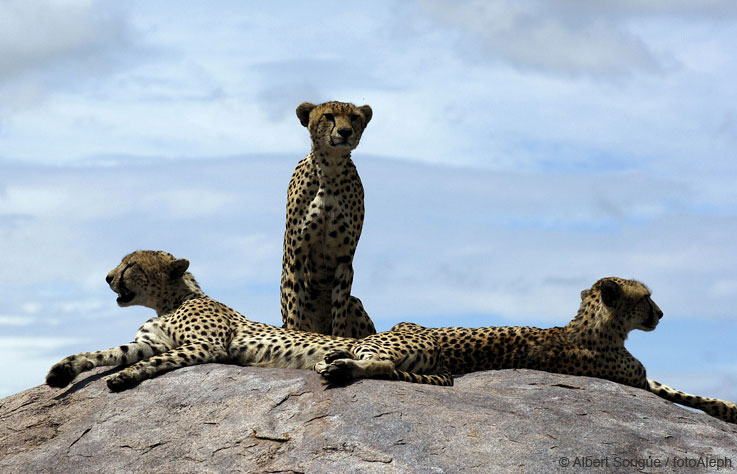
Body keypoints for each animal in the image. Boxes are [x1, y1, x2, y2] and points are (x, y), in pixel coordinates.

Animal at [44, 250, 448, 390]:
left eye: (130, 265)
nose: (108, 277)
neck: (170, 302)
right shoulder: (148, 342)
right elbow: (104, 353)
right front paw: (63, 371)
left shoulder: (204, 346)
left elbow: (154, 362)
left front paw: (125, 377)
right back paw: (336, 362)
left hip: (374, 340)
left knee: (382, 365)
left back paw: (339, 368)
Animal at [280, 100, 376, 338]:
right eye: (328, 116)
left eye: (354, 117)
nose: (345, 132)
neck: (330, 169)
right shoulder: (296, 254)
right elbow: (294, 308)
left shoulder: (344, 259)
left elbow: (339, 315)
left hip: (356, 303)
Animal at [388, 276, 732, 424]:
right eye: (646, 297)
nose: (660, 314)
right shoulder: (637, 379)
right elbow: (679, 392)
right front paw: (729, 408)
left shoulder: (642, 379)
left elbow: (679, 392)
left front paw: (726, 407)